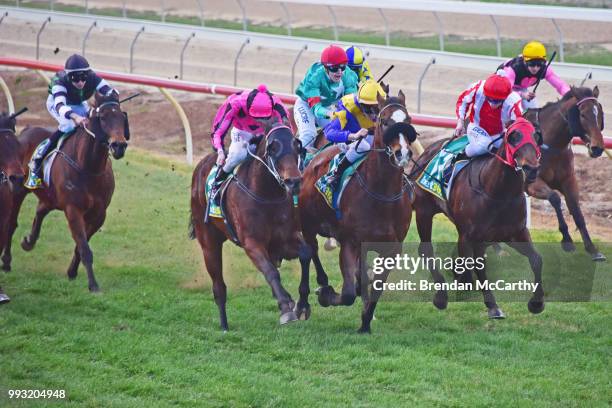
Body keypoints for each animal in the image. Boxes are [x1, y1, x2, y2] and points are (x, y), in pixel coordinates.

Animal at [2, 92, 128, 290]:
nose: (119, 146)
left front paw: (72, 272)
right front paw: (93, 285)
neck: (88, 168)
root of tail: (26, 130)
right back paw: (7, 261)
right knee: (11, 224)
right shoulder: (73, 209)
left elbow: (80, 246)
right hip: (18, 189)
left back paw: (29, 242)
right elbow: (84, 247)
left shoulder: (99, 214)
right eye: (103, 117)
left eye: (122, 118)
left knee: (41, 209)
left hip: (50, 197)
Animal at [189, 122, 308, 332]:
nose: (293, 181)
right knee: (219, 286)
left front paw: (301, 303)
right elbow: (271, 271)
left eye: (297, 146)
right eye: (273, 148)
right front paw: (285, 308)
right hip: (208, 242)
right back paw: (224, 325)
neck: (267, 194)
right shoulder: (252, 242)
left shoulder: (285, 238)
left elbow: (305, 255)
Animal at [296, 88, 416, 332]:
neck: (382, 194)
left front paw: (365, 323)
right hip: (308, 224)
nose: (403, 154)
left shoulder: (391, 249)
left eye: (407, 121)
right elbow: (348, 293)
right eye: (385, 121)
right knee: (309, 253)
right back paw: (308, 298)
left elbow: (376, 288)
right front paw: (326, 295)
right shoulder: (350, 242)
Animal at [414, 116, 544, 318]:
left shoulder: (515, 233)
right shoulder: (469, 236)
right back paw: (441, 296)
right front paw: (491, 304)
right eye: (513, 136)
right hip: (423, 211)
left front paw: (536, 303)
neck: (498, 192)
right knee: (426, 250)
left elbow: (536, 259)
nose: (531, 168)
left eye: (536, 136)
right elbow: (475, 267)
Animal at [524, 85, 608, 262]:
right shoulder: (531, 183)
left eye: (599, 113)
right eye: (582, 114)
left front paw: (592, 249)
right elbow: (555, 198)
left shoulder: (569, 181)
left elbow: (577, 210)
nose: (597, 148)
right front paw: (567, 240)